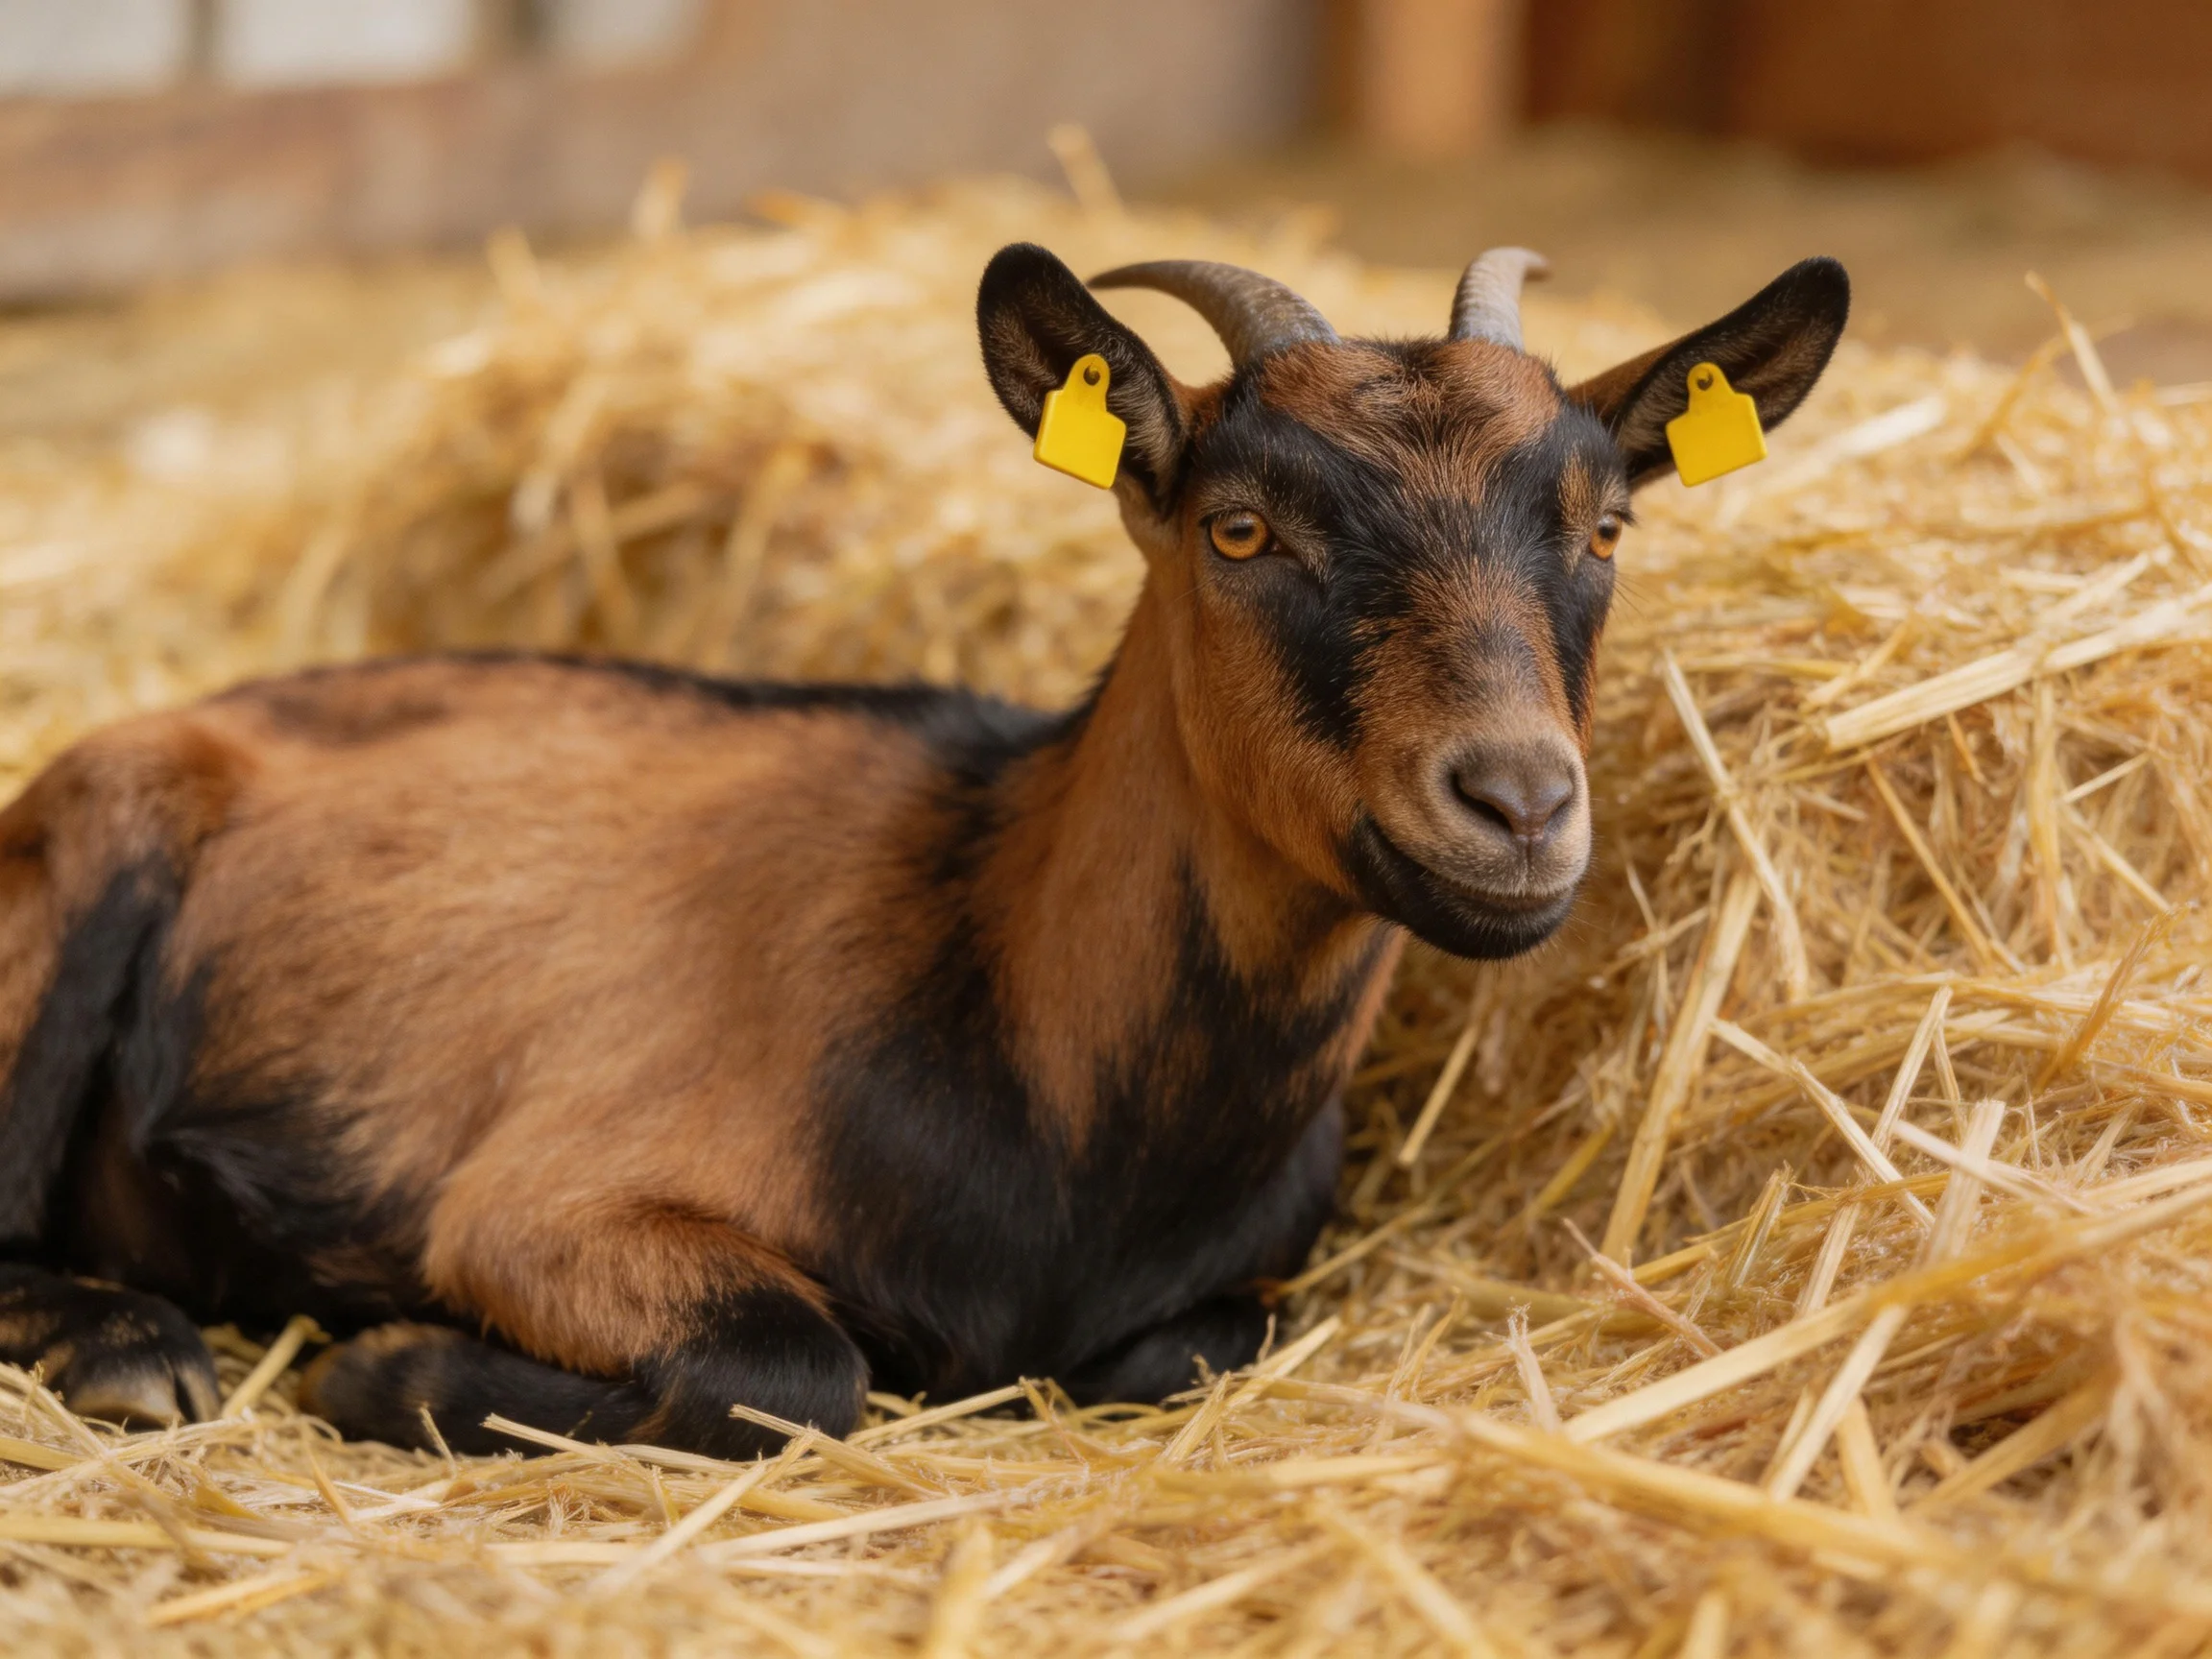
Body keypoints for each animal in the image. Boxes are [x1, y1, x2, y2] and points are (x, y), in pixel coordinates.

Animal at [0, 244, 1846, 1455]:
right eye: (1240, 527)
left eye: (1603, 527)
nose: (1517, 804)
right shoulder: (539, 1208)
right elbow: (791, 1371)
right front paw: (380, 1368)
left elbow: (1199, 1349)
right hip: (91, 860)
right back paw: (134, 1350)